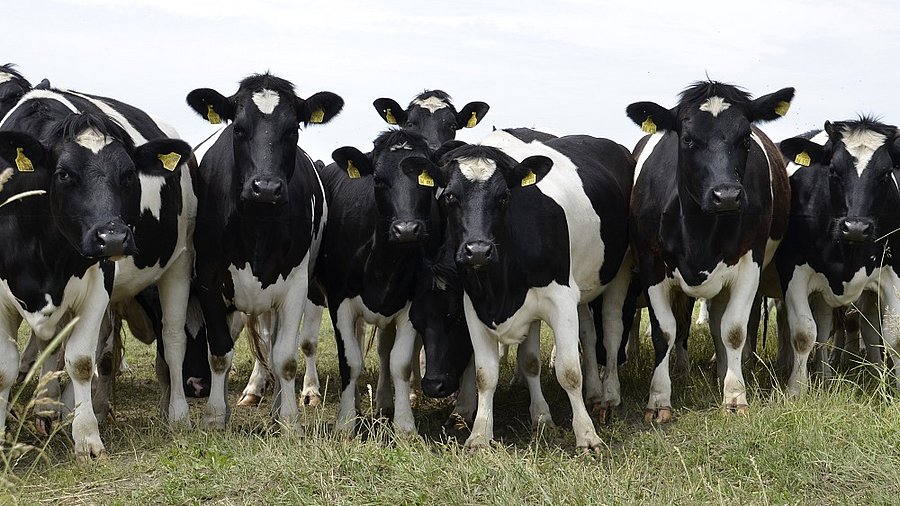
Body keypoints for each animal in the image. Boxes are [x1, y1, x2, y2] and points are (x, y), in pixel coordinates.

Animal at [0, 96, 192, 458]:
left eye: (129, 175)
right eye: (63, 174)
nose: (113, 238)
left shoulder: (99, 285)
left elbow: (80, 360)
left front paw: (87, 438)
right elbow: (6, 368)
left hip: (180, 265)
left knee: (173, 339)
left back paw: (178, 412)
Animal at [186, 72, 342, 426]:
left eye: (293, 130)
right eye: (238, 129)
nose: (266, 188)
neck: (257, 227)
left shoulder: (296, 283)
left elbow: (285, 357)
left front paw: (289, 419)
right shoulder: (208, 279)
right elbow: (220, 352)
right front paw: (216, 416)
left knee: (278, 345)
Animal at [414, 127, 632, 450]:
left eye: (504, 196)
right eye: (450, 196)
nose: (478, 251)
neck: (499, 289)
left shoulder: (560, 297)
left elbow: (569, 371)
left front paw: (587, 436)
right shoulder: (475, 305)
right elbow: (489, 373)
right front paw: (480, 435)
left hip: (621, 269)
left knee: (612, 329)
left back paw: (608, 396)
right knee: (588, 335)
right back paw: (594, 393)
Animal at [624, 81, 796, 422]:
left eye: (745, 138)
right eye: (688, 139)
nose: (726, 194)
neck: (699, 232)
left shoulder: (750, 263)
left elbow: (733, 330)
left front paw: (735, 395)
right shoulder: (651, 263)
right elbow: (664, 331)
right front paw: (658, 400)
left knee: (719, 323)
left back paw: (723, 372)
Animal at [772, 116, 900, 394]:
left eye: (886, 174)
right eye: (832, 170)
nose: (856, 227)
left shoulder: (894, 271)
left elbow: (894, 334)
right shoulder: (793, 270)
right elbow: (803, 333)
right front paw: (796, 389)